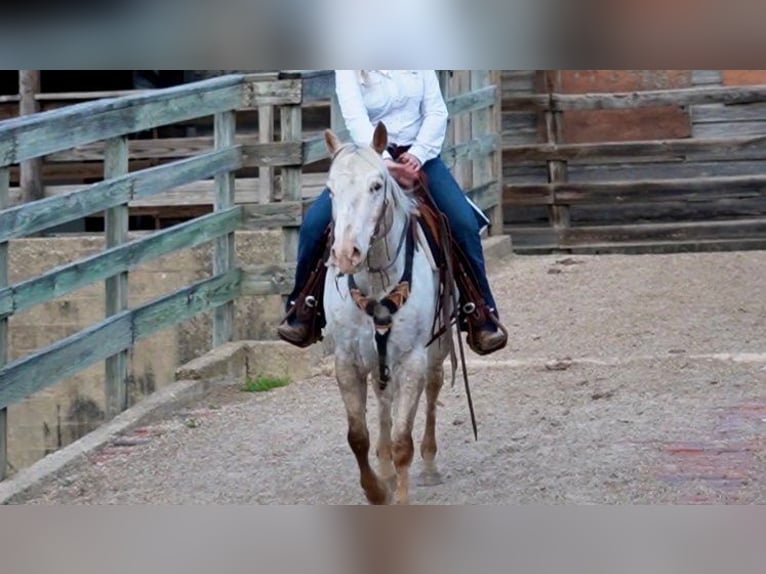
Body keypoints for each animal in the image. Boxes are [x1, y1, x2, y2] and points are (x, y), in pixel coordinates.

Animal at [320, 124, 452, 506]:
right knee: (384, 402)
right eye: (330, 189)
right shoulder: (347, 360)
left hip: (437, 348)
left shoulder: (412, 359)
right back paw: (387, 471)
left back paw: (429, 464)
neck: (378, 282)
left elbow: (402, 442)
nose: (346, 253)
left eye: (376, 185)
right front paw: (377, 489)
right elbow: (358, 436)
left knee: (432, 389)